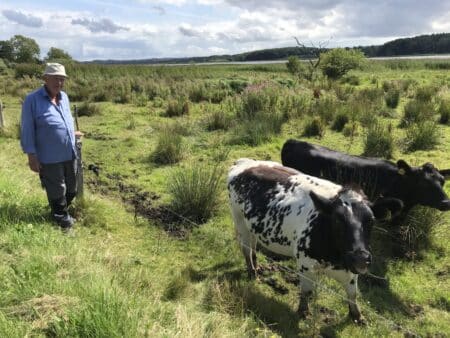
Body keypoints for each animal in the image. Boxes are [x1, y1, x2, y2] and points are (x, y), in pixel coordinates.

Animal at [227, 158, 402, 322]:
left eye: (371, 220)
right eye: (337, 220)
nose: (360, 258)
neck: (335, 259)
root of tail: (245, 162)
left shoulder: (352, 269)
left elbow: (353, 294)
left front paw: (357, 316)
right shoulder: (305, 264)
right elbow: (306, 290)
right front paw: (303, 312)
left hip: (251, 225)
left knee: (253, 245)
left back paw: (258, 267)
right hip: (239, 219)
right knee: (246, 248)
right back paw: (252, 272)